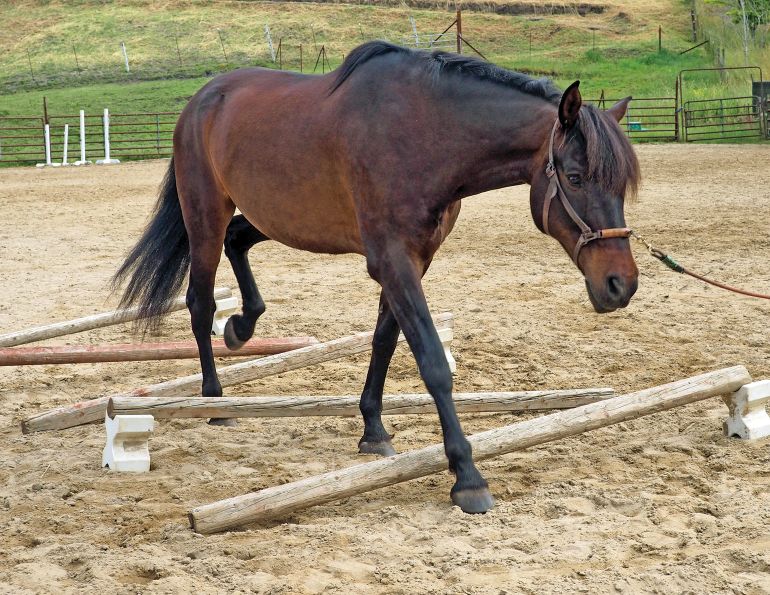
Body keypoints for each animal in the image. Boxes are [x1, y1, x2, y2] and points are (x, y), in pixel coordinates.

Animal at [113, 41, 640, 514]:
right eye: (574, 177)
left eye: (621, 184)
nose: (621, 284)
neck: (424, 135)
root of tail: (201, 100)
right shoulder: (393, 260)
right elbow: (431, 360)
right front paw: (467, 477)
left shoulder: (411, 260)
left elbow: (385, 341)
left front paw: (373, 430)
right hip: (204, 216)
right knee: (201, 303)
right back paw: (216, 402)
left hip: (271, 216)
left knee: (238, 242)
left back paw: (243, 326)